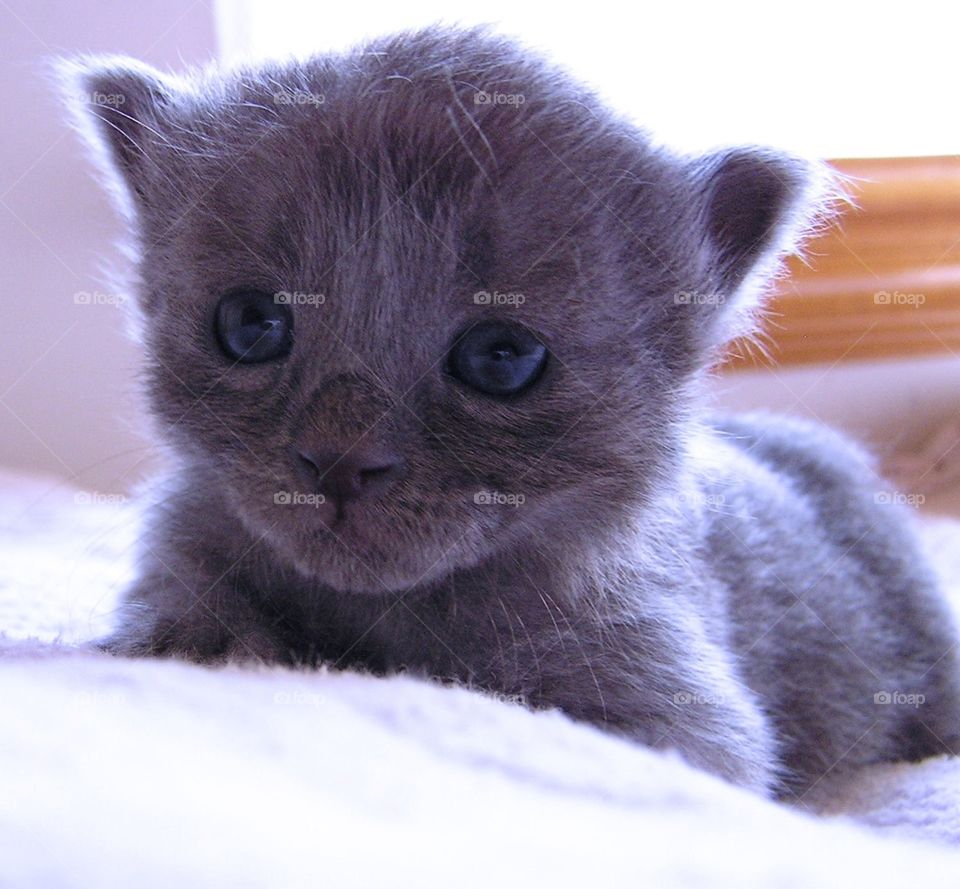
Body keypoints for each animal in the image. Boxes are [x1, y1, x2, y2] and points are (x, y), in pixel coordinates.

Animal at [67, 27, 960, 796]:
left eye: (502, 357)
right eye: (251, 324)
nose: (339, 459)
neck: (386, 614)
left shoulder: (676, 712)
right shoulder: (182, 552)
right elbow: (179, 626)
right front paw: (212, 643)